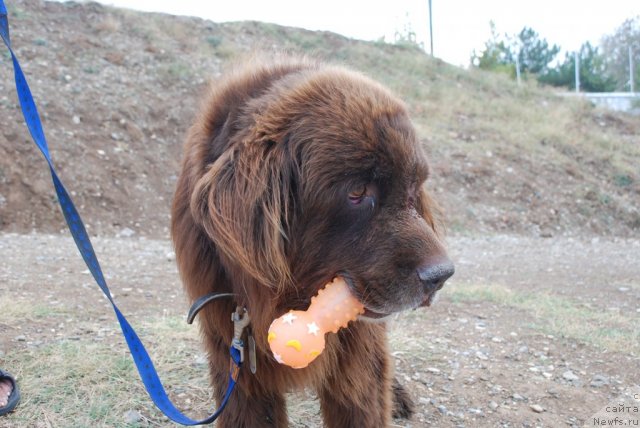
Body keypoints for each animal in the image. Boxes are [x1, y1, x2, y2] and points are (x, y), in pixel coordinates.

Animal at [171, 57, 456, 428]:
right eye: (357, 192)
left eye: (412, 189)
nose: (442, 275)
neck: (291, 297)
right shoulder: (235, 356)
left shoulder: (357, 356)